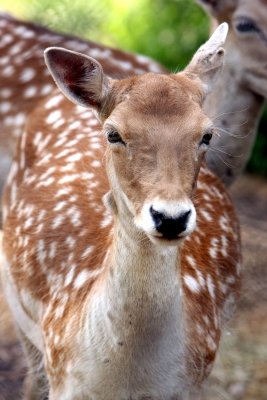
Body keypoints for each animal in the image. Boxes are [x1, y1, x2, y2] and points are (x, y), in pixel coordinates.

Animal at [1, 22, 243, 400]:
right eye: (114, 133)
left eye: (207, 134)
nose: (170, 218)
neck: (125, 379)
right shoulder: (61, 371)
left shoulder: (192, 383)